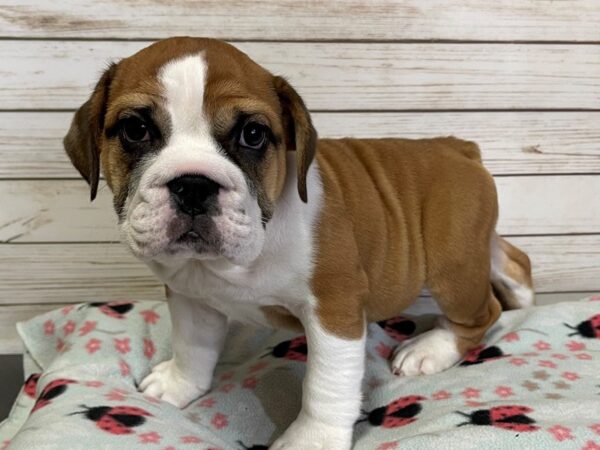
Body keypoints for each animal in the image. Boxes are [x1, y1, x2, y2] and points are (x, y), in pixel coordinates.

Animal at [64, 37, 536, 448]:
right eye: (135, 128)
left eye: (253, 134)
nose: (194, 184)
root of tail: (457, 147)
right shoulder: (191, 296)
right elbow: (192, 346)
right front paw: (180, 384)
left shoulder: (334, 309)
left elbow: (325, 385)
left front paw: (313, 439)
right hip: (473, 247)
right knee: (510, 257)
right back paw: (522, 297)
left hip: (451, 266)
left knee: (481, 313)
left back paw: (430, 350)